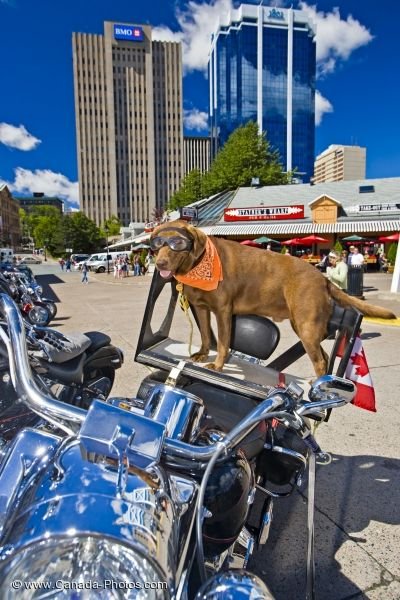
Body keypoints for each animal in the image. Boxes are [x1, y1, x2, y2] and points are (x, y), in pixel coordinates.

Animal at [151, 220, 396, 378]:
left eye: (177, 244)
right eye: (156, 245)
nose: (160, 264)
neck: (199, 263)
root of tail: (322, 278)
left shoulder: (223, 311)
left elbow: (222, 343)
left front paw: (218, 365)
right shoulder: (201, 308)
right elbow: (204, 334)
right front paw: (202, 354)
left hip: (307, 326)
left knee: (319, 360)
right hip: (302, 325)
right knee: (325, 356)